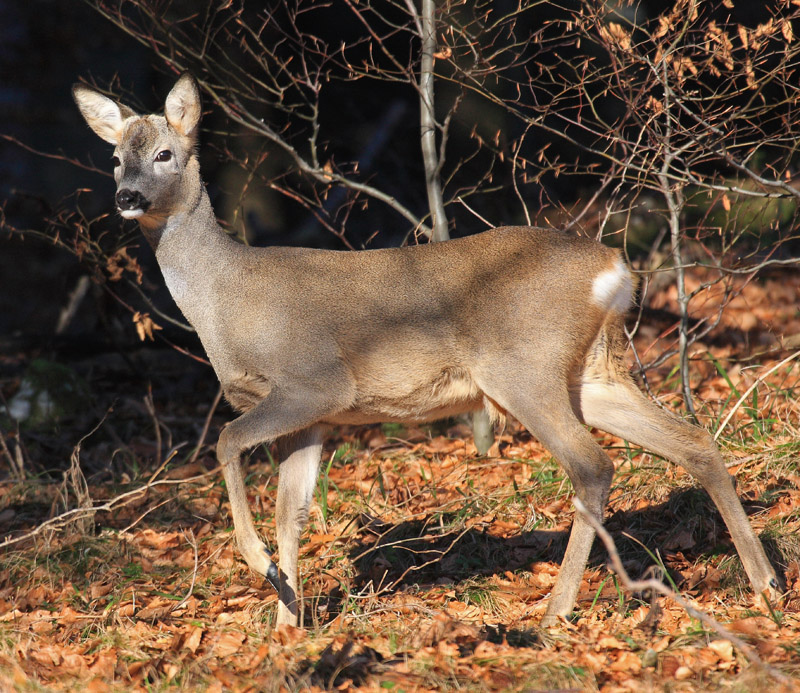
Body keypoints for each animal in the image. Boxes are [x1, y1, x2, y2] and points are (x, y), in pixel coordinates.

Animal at [72, 74, 780, 628]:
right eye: (116, 159)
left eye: (166, 153)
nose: (126, 198)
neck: (225, 300)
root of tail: (614, 268)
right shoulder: (315, 420)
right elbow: (291, 513)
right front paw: (286, 623)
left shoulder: (312, 384)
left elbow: (224, 444)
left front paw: (264, 572)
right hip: (591, 373)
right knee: (694, 442)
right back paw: (765, 584)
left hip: (522, 367)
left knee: (592, 465)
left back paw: (556, 611)